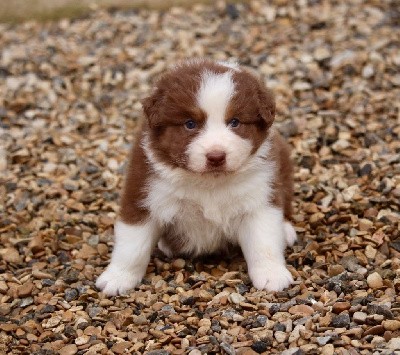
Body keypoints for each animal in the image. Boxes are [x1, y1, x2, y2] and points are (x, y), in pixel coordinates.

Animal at [97, 59, 296, 296]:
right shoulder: (143, 194)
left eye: (235, 122)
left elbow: (263, 241)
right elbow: (132, 245)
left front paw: (272, 275)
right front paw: (117, 278)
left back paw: (286, 230)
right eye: (190, 124)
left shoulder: (259, 198)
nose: (216, 156)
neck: (208, 182)